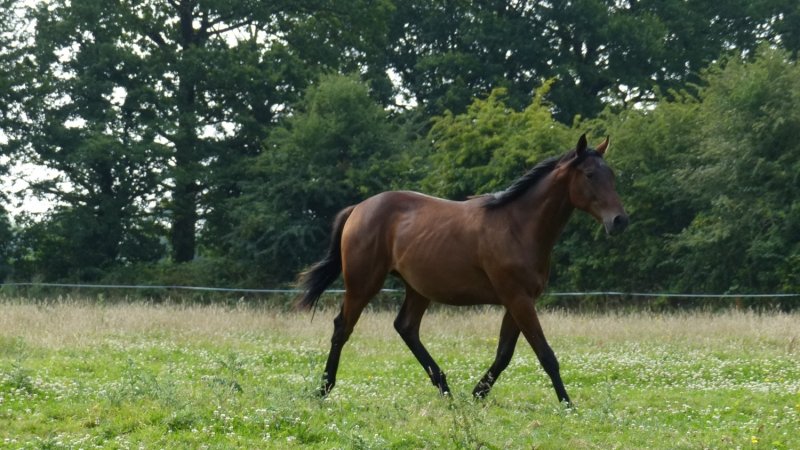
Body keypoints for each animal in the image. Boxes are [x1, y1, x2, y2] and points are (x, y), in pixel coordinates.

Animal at [296, 134, 628, 405]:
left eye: (612, 175)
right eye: (589, 175)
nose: (619, 221)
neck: (518, 226)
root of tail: (359, 208)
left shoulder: (517, 301)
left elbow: (504, 353)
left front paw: (478, 392)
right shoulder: (518, 299)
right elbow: (545, 353)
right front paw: (567, 404)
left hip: (418, 289)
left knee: (406, 328)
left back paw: (445, 388)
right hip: (363, 284)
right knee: (343, 327)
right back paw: (324, 389)